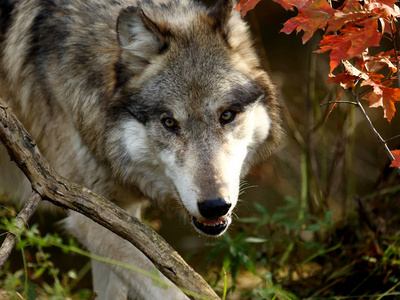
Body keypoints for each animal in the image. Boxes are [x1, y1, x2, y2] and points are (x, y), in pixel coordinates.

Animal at [0, 0, 282, 298]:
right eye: (169, 122)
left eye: (226, 115)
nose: (214, 207)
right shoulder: (88, 215)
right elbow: (168, 289)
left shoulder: (117, 213)